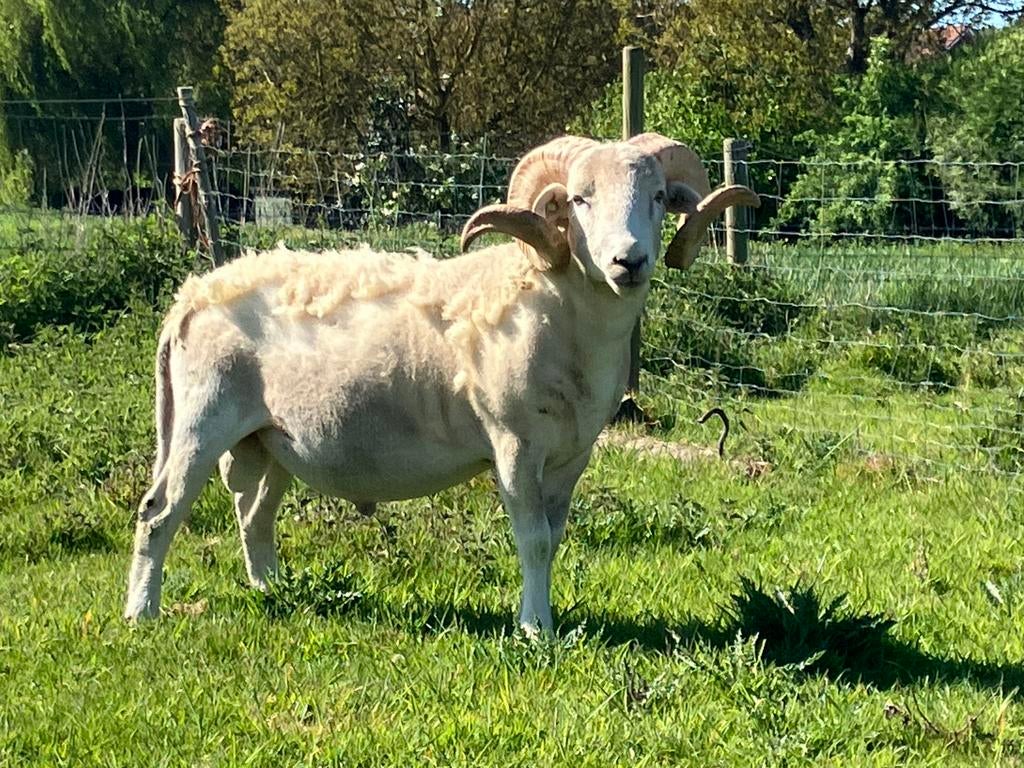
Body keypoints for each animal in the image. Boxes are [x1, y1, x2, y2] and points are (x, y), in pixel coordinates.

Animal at [124, 132, 759, 633]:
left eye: (657, 198)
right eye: (580, 199)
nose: (629, 261)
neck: (553, 306)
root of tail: (190, 296)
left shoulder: (572, 455)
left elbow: (553, 538)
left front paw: (547, 618)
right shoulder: (513, 443)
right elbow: (532, 539)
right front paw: (536, 630)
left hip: (270, 438)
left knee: (253, 516)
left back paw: (273, 593)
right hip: (202, 420)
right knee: (159, 511)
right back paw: (141, 612)